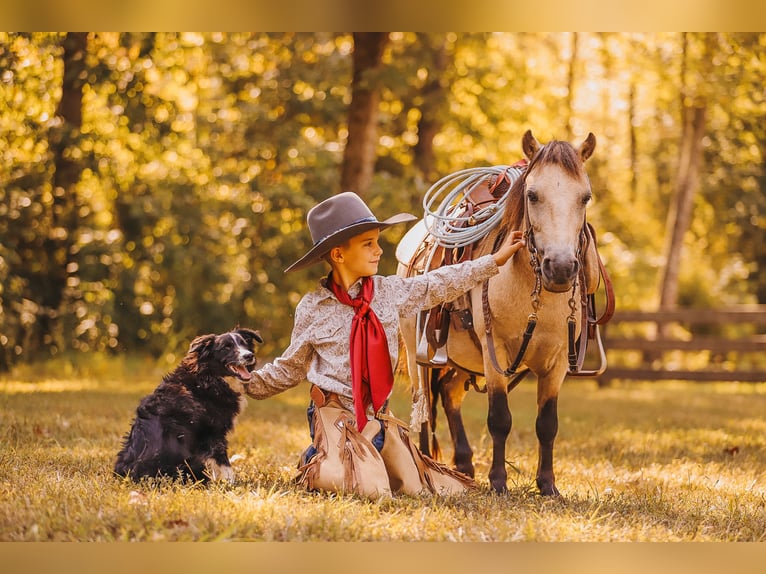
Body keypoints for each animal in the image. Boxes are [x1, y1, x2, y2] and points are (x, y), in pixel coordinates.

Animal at [115, 328, 264, 482]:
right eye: (226, 347)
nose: (249, 355)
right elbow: (223, 462)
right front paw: (230, 483)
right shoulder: (213, 431)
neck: (208, 377)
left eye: (244, 343)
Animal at [400, 129, 604, 496]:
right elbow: (499, 419)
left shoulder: (556, 363)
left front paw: (548, 485)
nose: (561, 268)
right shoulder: (494, 352)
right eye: (532, 195)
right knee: (421, 405)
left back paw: (464, 464)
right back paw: (426, 461)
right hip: (416, 354)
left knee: (450, 396)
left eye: (585, 197)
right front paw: (498, 481)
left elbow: (547, 423)